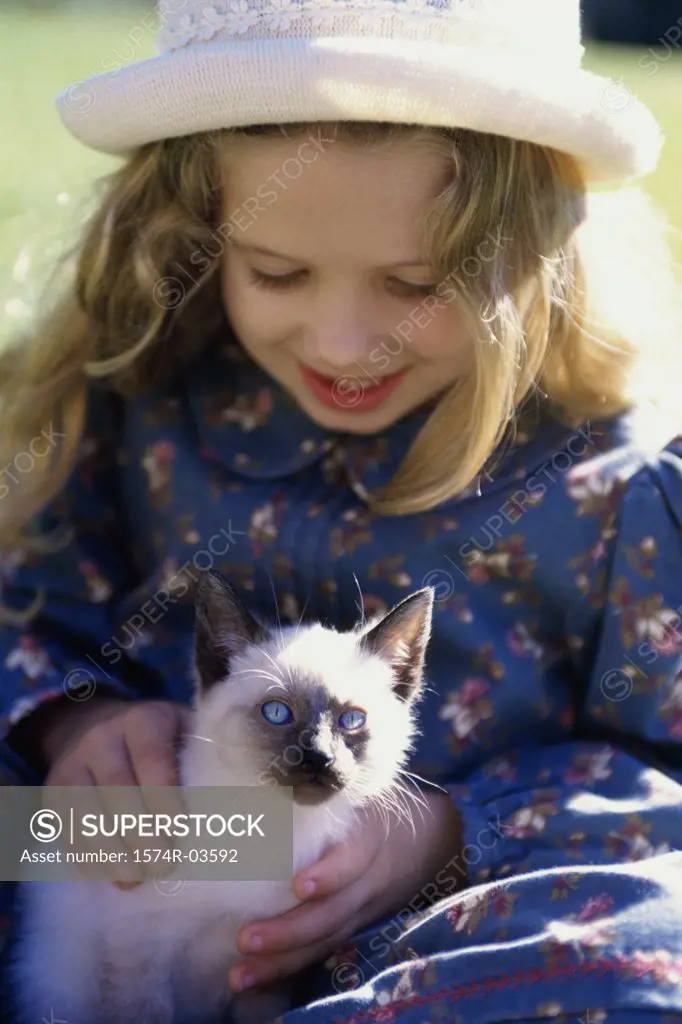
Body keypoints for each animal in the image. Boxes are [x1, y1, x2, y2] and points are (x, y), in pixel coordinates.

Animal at [10, 577, 432, 1024]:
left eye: (351, 720)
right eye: (277, 713)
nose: (319, 757)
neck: (278, 829)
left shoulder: (264, 971)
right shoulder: (137, 956)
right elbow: (145, 1012)